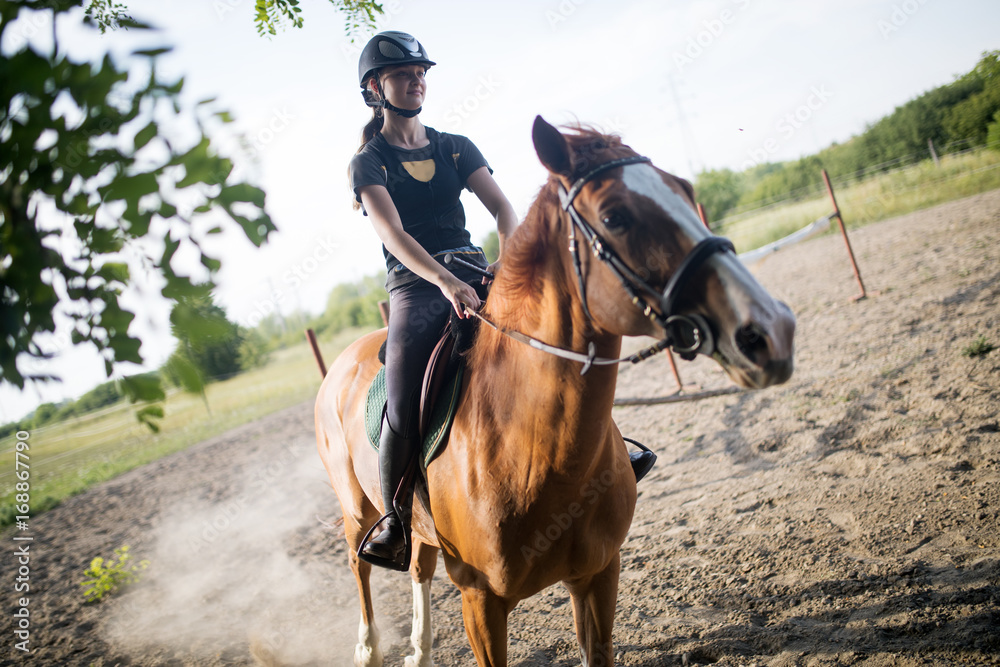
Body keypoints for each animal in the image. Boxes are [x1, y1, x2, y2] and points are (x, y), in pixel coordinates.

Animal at [315, 116, 795, 666]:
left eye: (685, 190)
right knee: (360, 564)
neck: (526, 447)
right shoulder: (480, 600)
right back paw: (369, 647)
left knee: (419, 565)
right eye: (614, 216)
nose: (772, 329)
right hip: (358, 510)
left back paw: (419, 650)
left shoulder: (598, 574)